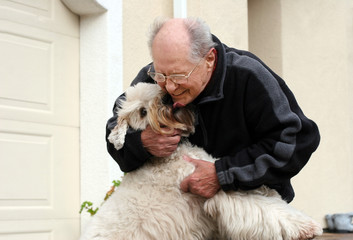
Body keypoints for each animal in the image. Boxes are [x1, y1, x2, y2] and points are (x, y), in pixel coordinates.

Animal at [80, 83, 322, 240]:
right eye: (142, 112)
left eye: (155, 88)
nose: (166, 98)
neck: (167, 158)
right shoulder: (215, 189)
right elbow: (263, 208)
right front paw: (307, 227)